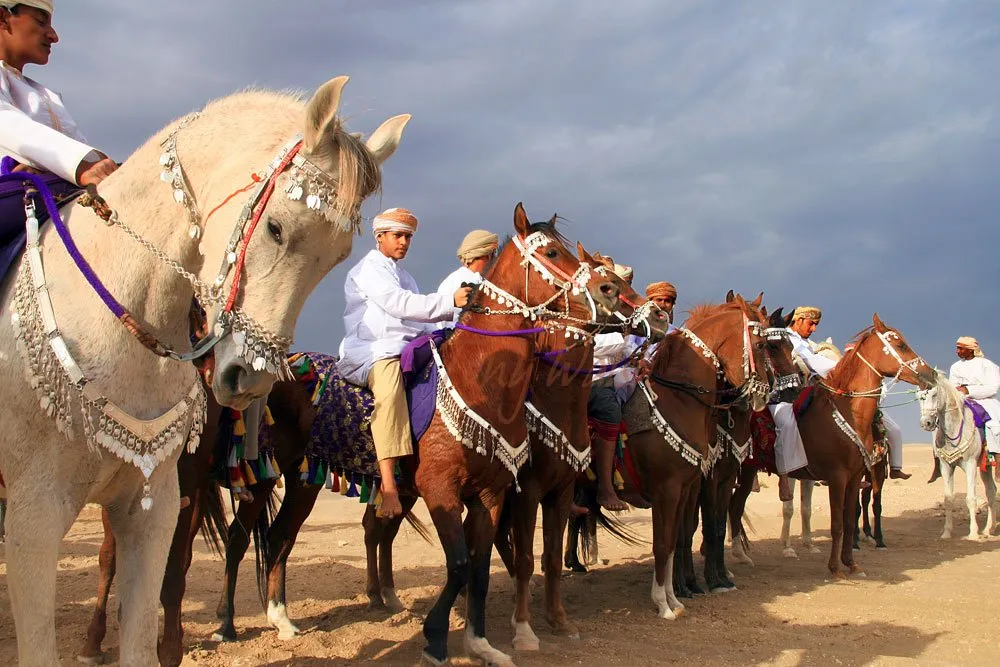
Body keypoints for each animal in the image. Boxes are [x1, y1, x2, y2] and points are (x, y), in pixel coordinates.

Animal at [0, 77, 408, 665]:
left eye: (337, 257)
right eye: (277, 228)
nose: (250, 379)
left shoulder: (156, 498)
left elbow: (155, 607)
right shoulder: (36, 512)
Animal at [918, 373, 999, 540]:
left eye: (934, 394)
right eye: (918, 397)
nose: (926, 423)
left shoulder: (971, 464)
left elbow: (971, 499)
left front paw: (973, 533)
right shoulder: (946, 466)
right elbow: (948, 500)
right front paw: (947, 532)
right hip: (986, 467)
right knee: (991, 492)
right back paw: (988, 529)